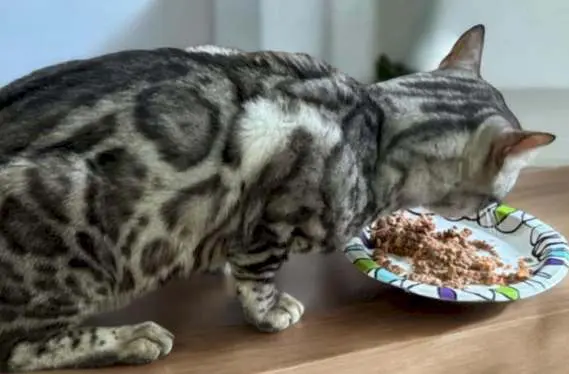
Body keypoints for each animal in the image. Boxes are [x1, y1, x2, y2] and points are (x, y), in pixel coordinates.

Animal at [0, 23, 556, 372]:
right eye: (497, 193)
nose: (490, 213)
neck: (376, 126)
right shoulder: (271, 220)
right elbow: (258, 278)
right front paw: (270, 312)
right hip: (71, 228)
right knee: (19, 349)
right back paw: (132, 338)